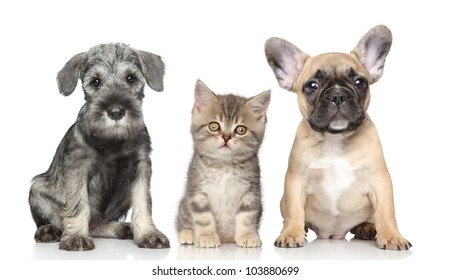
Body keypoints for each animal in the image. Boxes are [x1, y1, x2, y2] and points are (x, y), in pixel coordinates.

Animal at [28, 42, 170, 250]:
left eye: (131, 78)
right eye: (95, 82)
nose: (116, 111)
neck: (112, 140)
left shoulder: (141, 166)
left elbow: (143, 202)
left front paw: (148, 234)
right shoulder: (78, 166)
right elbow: (79, 204)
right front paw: (76, 236)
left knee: (97, 225)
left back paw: (121, 228)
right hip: (37, 188)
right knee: (55, 221)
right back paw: (48, 231)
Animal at [177, 79, 270, 247]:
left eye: (241, 130)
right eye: (214, 126)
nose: (226, 137)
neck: (224, 165)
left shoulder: (251, 192)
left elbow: (247, 215)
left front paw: (247, 235)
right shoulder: (196, 190)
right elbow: (203, 216)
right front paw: (207, 236)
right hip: (184, 204)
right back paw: (187, 233)